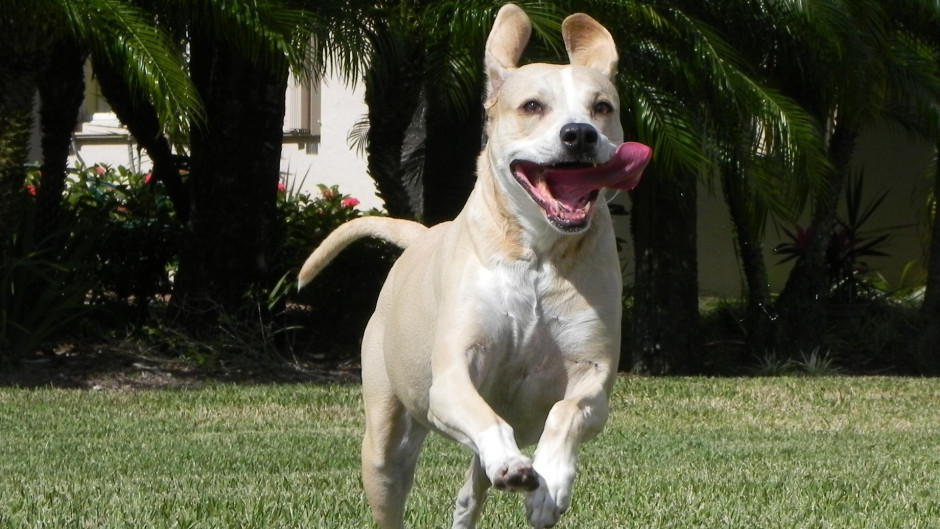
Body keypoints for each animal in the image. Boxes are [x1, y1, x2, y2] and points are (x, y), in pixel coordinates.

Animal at [298, 3, 648, 524]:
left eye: (602, 107)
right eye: (532, 106)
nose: (579, 134)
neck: (538, 256)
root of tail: (424, 234)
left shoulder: (593, 377)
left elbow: (565, 413)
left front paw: (551, 486)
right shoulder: (451, 379)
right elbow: (485, 419)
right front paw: (511, 462)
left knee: (473, 484)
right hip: (386, 438)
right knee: (395, 474)